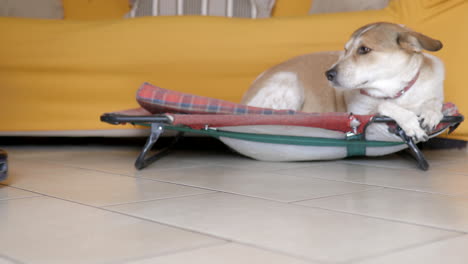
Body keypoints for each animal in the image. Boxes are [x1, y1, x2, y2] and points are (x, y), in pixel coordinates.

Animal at [243, 22, 444, 141]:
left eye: (364, 49)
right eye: (346, 50)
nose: (328, 74)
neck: (398, 92)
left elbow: (434, 102)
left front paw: (432, 112)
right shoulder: (361, 110)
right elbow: (383, 105)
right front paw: (410, 122)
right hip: (288, 81)